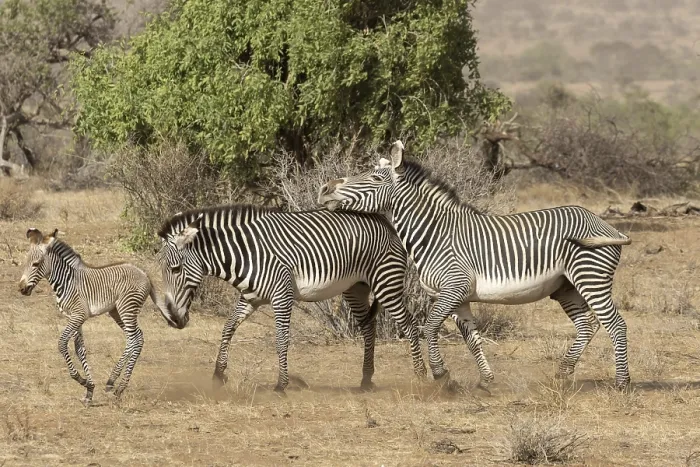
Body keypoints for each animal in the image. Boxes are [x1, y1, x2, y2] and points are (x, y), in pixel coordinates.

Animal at [18, 228, 164, 406]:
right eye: (26, 263)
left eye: (36, 264)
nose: (22, 289)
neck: (67, 281)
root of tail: (144, 273)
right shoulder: (74, 317)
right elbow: (80, 349)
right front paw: (89, 390)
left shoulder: (78, 315)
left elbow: (62, 344)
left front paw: (81, 380)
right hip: (116, 311)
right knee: (138, 337)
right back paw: (115, 383)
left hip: (127, 308)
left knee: (134, 339)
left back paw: (117, 385)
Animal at [156, 204, 426, 393]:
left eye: (176, 269)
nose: (173, 320)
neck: (247, 255)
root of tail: (385, 221)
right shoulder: (251, 298)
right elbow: (228, 328)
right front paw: (218, 374)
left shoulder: (282, 295)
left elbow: (281, 340)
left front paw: (281, 383)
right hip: (355, 288)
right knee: (369, 328)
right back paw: (366, 379)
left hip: (386, 282)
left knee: (410, 326)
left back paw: (423, 375)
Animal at [318, 140, 633, 390]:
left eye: (373, 177)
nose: (324, 189)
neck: (435, 232)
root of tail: (605, 224)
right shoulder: (458, 297)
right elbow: (472, 339)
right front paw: (486, 381)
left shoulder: (453, 288)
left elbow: (429, 325)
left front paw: (441, 374)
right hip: (566, 286)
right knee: (588, 325)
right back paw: (563, 373)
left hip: (590, 277)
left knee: (615, 325)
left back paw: (622, 383)